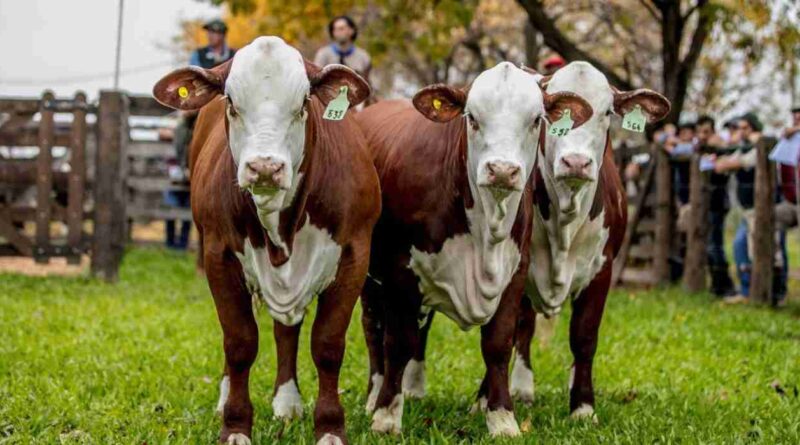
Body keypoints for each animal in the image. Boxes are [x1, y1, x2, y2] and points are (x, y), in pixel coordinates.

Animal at [154, 37, 384, 444]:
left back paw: (287, 402)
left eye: (304, 103)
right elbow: (240, 342)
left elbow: (327, 345)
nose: (264, 167)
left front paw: (329, 427)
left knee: (286, 330)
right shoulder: (218, 256)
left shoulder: (355, 254)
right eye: (231, 103)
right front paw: (235, 426)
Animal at [356, 61, 592, 438]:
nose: (502, 170)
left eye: (535, 120)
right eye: (473, 119)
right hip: (369, 277)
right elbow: (398, 342)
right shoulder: (400, 271)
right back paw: (374, 395)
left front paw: (502, 419)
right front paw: (386, 417)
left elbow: (498, 344)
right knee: (374, 331)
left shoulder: (514, 273)